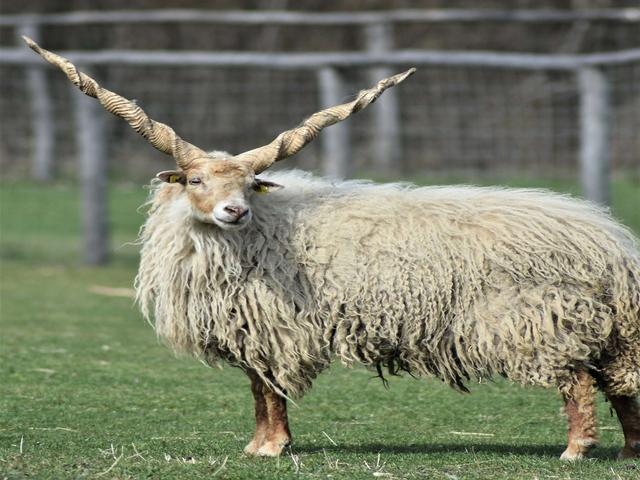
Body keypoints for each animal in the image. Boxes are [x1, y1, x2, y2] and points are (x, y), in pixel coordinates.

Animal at [25, 37, 640, 461]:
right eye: (196, 181)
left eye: (250, 183)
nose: (234, 211)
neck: (260, 230)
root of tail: (612, 245)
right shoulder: (252, 326)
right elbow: (257, 390)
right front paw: (258, 446)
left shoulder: (273, 327)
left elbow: (270, 390)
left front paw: (272, 448)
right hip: (608, 332)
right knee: (621, 389)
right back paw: (629, 450)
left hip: (542, 321)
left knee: (579, 384)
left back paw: (576, 451)